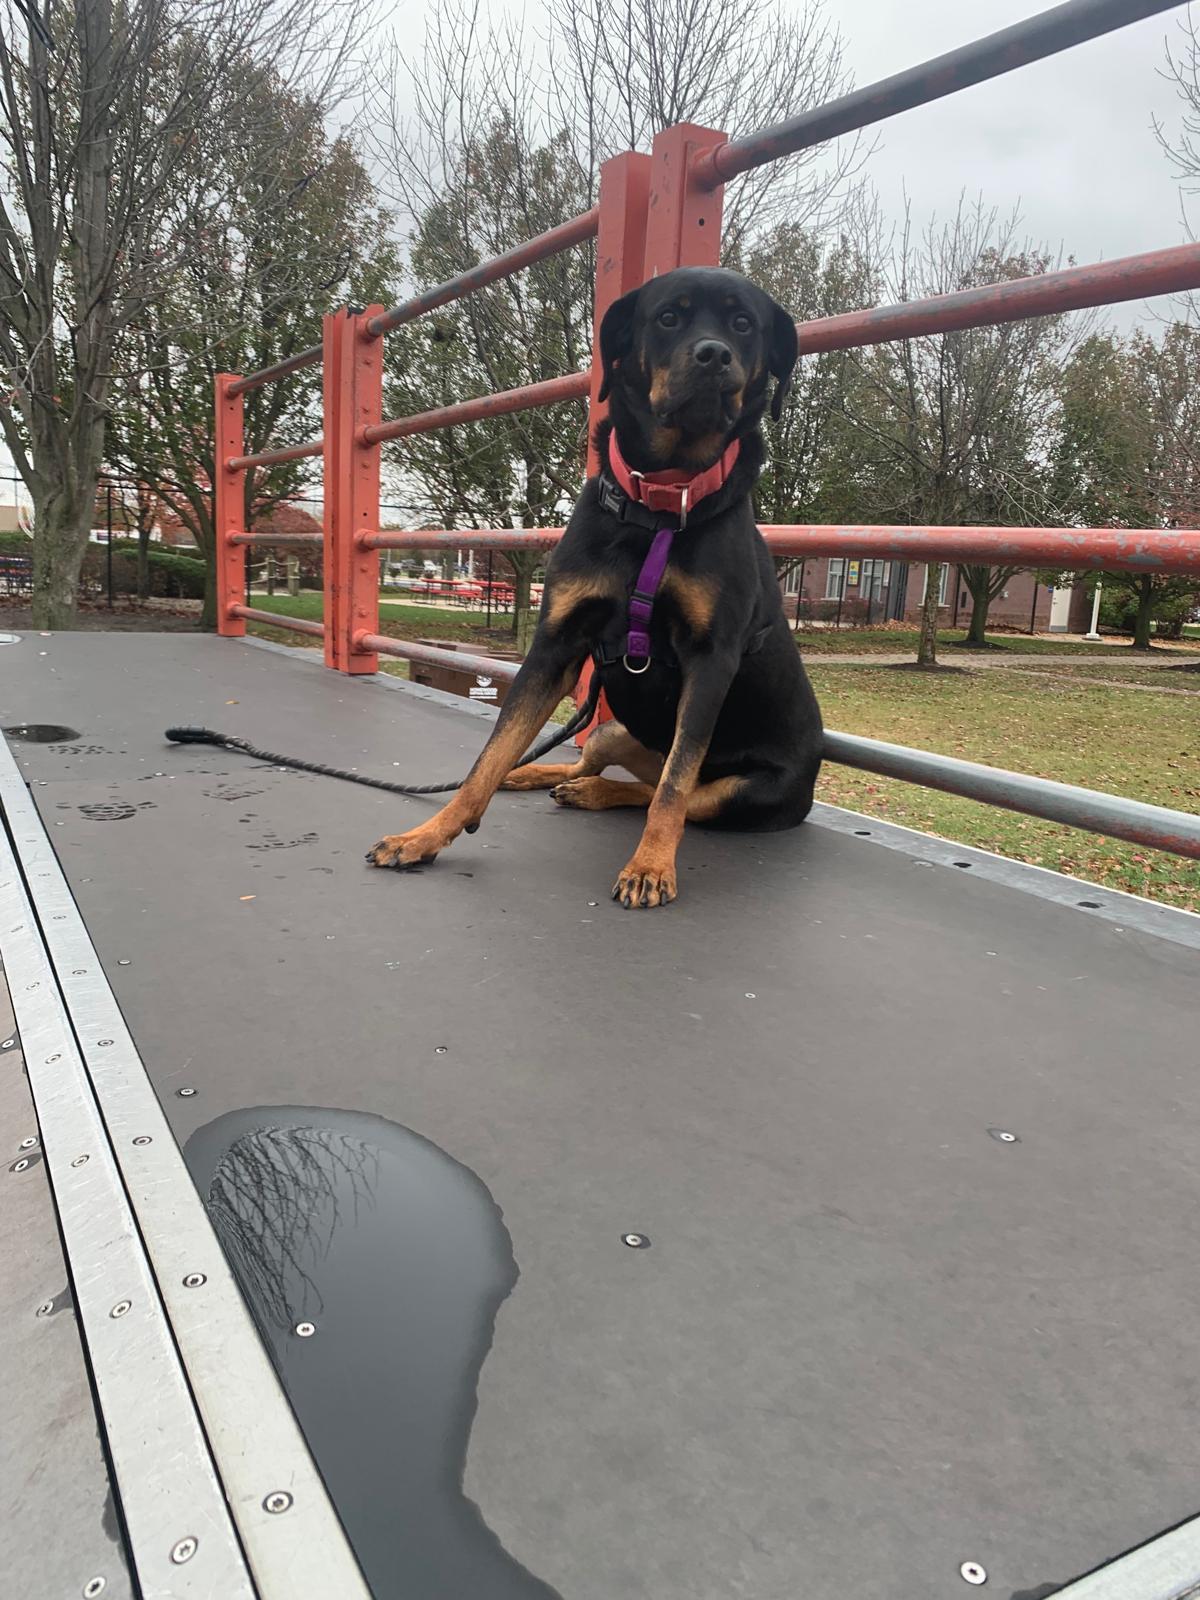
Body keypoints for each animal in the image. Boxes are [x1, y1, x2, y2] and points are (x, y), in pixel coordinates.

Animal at [371, 268, 825, 908]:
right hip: (611, 728)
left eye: (743, 324)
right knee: (602, 769)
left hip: (745, 790)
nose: (714, 356)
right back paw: (541, 777)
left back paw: (599, 800)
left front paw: (651, 867)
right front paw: (427, 834)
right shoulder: (555, 646)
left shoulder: (710, 661)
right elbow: (487, 758)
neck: (659, 503)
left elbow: (674, 791)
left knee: (667, 792)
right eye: (668, 317)